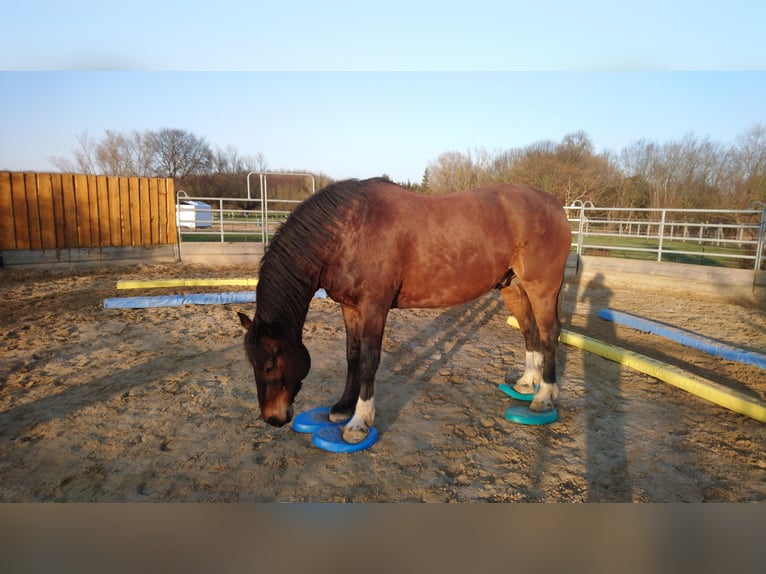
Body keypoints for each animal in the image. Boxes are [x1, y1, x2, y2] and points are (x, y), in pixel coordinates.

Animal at [237, 178, 572, 448]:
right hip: (512, 287)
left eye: (269, 366)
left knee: (548, 334)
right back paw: (527, 382)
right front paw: (343, 407)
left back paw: (544, 397)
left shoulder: (374, 306)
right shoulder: (350, 307)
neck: (347, 230)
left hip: (542, 287)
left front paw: (359, 422)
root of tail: (555, 205)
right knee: (529, 331)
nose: (273, 419)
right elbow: (352, 355)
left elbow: (369, 359)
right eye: (252, 364)